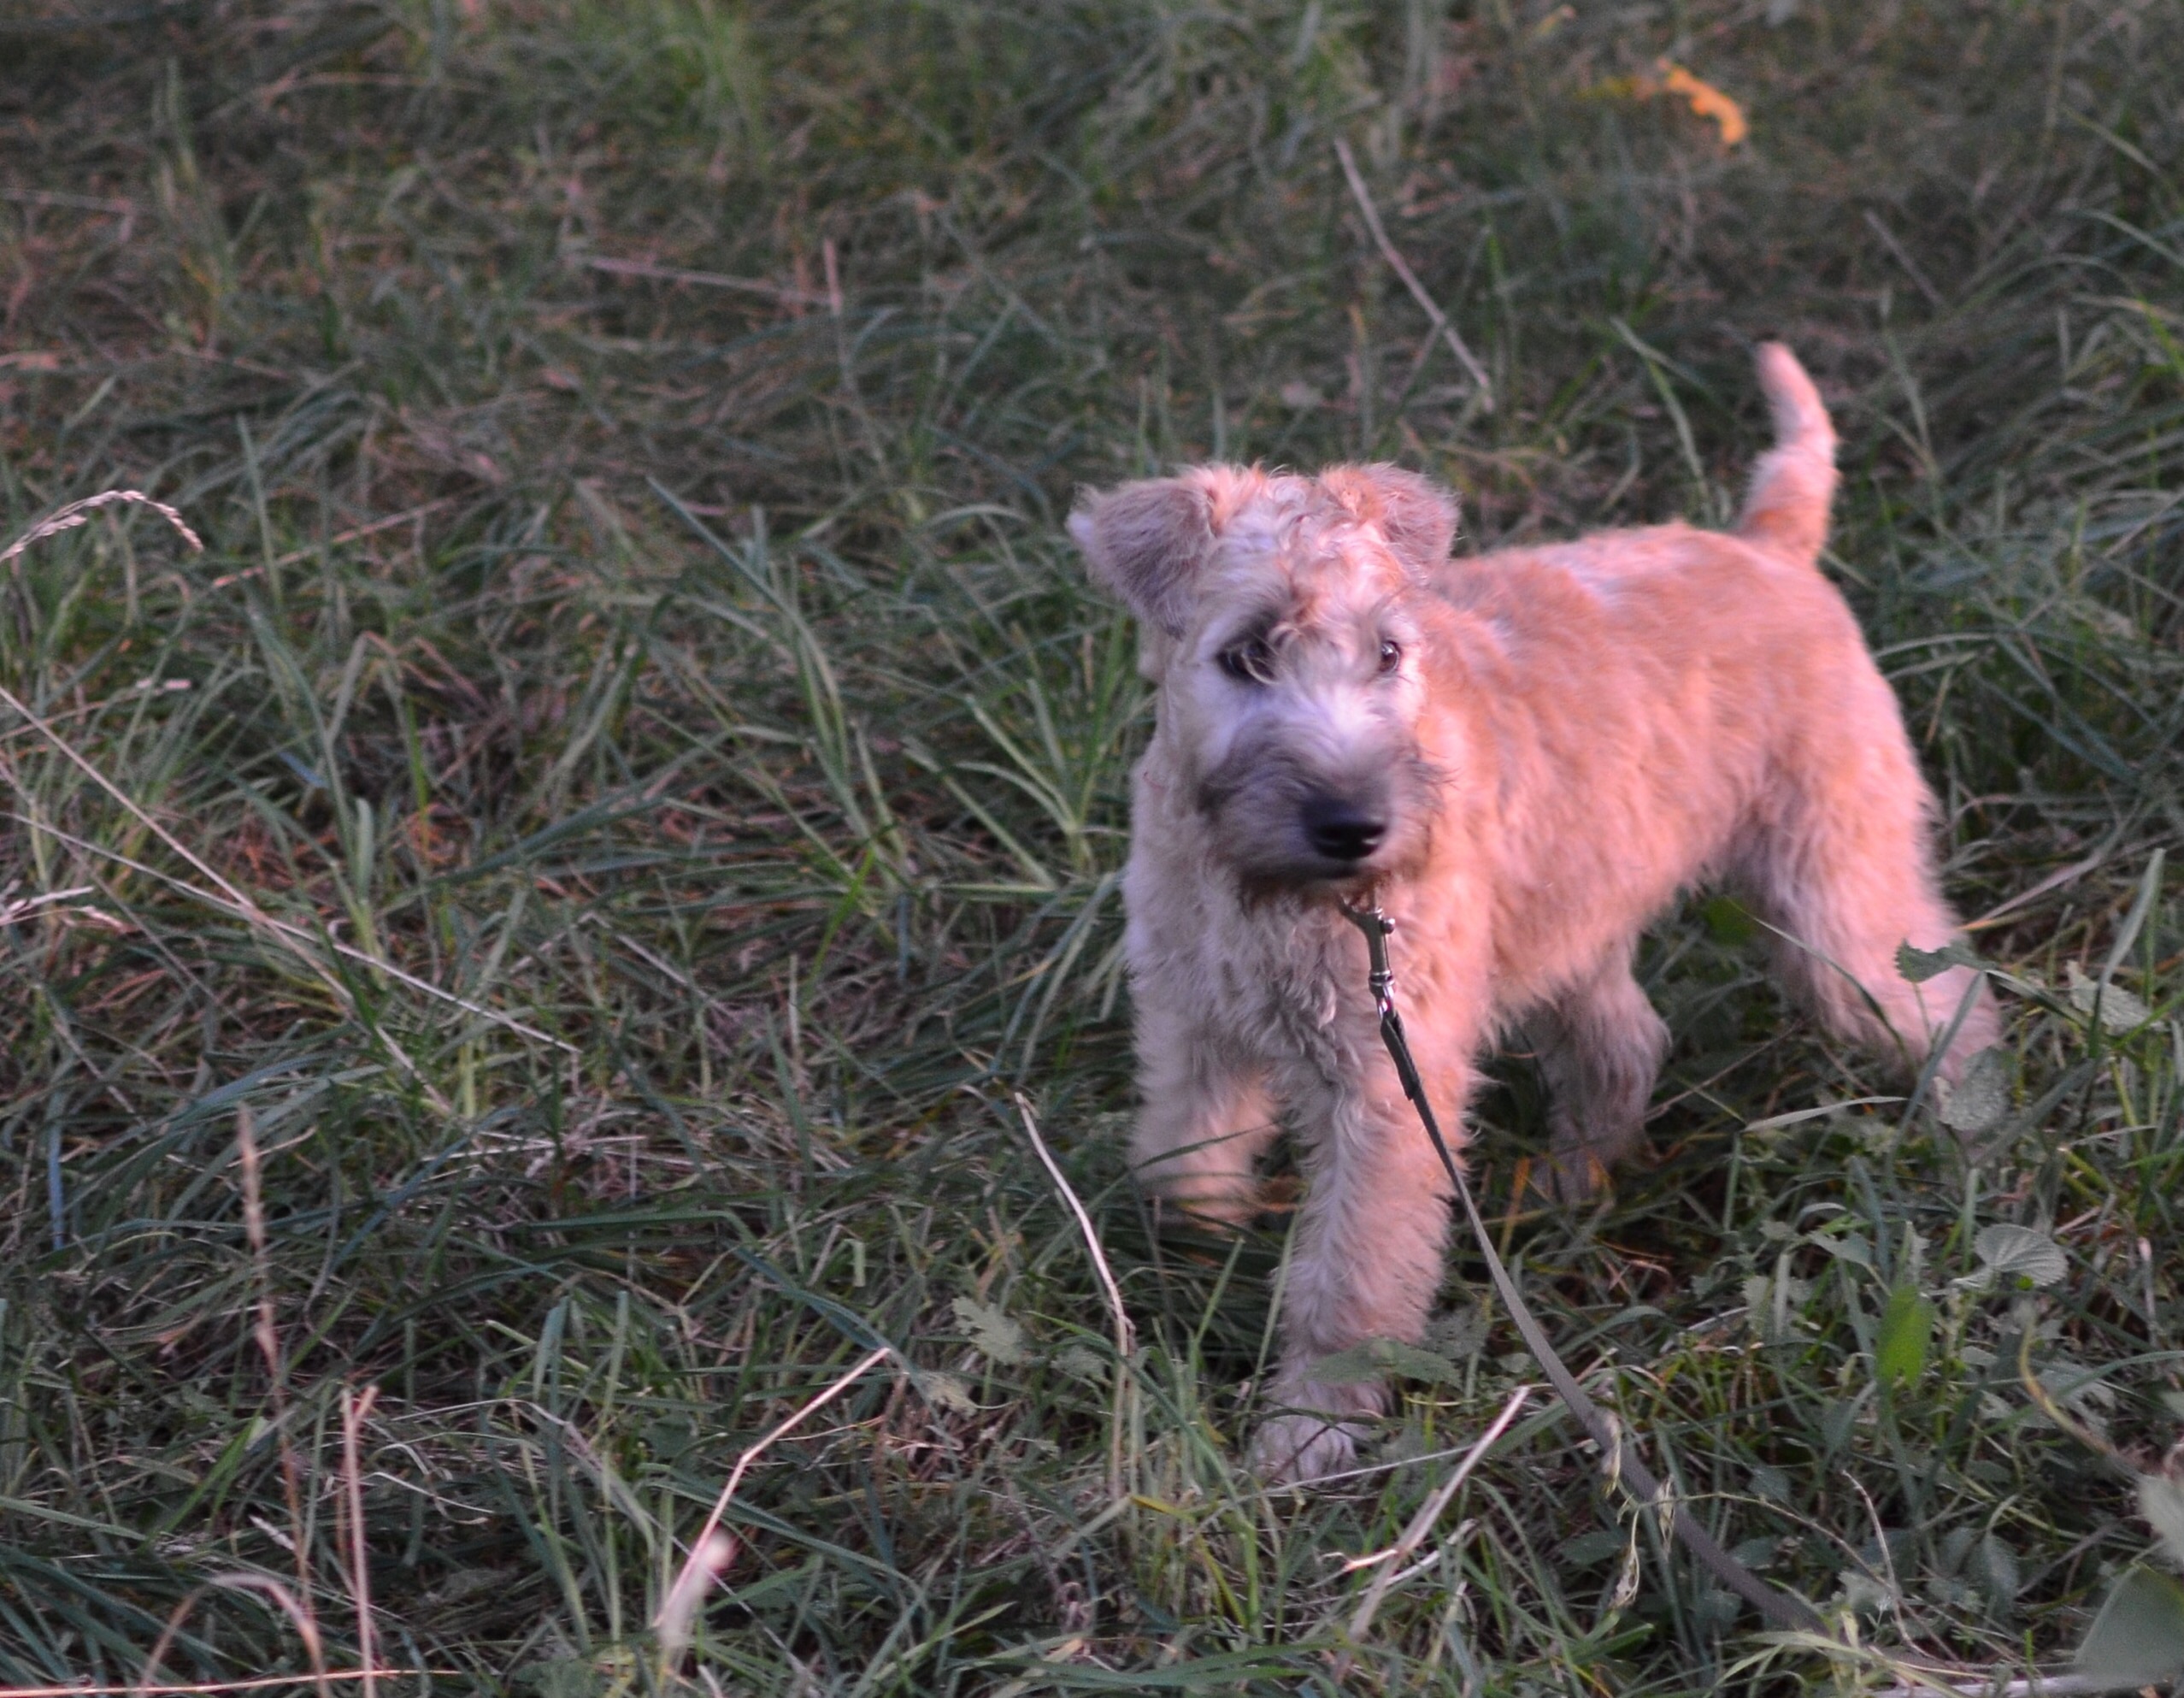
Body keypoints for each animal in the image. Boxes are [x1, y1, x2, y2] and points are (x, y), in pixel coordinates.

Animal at [1065, 345, 2000, 1486]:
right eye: (1246, 653)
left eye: (1387, 652)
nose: (1354, 826)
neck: (1257, 894)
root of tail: (1766, 548)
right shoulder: (1192, 1019)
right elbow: (1182, 1152)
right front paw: (1181, 1255)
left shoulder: (1385, 1084)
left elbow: (1350, 1278)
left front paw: (1310, 1429)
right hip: (1576, 925)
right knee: (1627, 1042)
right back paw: (1564, 1186)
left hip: (1836, 903)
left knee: (1950, 1000)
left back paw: (1973, 1142)